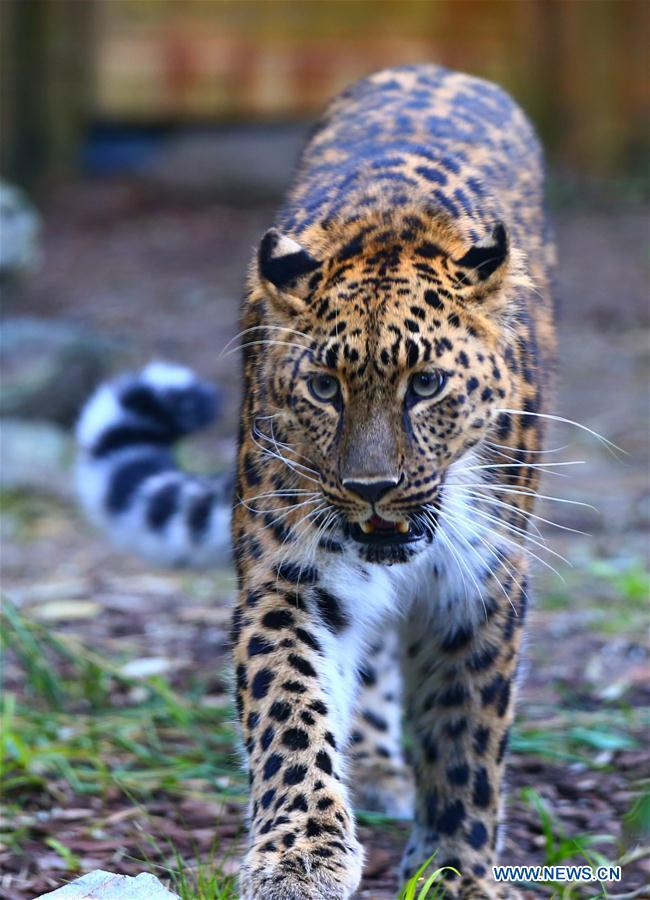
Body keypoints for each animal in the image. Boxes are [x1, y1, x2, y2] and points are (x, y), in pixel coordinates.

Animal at [76, 65, 552, 900]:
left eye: (427, 384)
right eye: (325, 388)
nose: (372, 487)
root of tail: (428, 67)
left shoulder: (484, 584)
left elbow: (465, 733)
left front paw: (455, 869)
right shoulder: (290, 575)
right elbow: (291, 708)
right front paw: (298, 857)